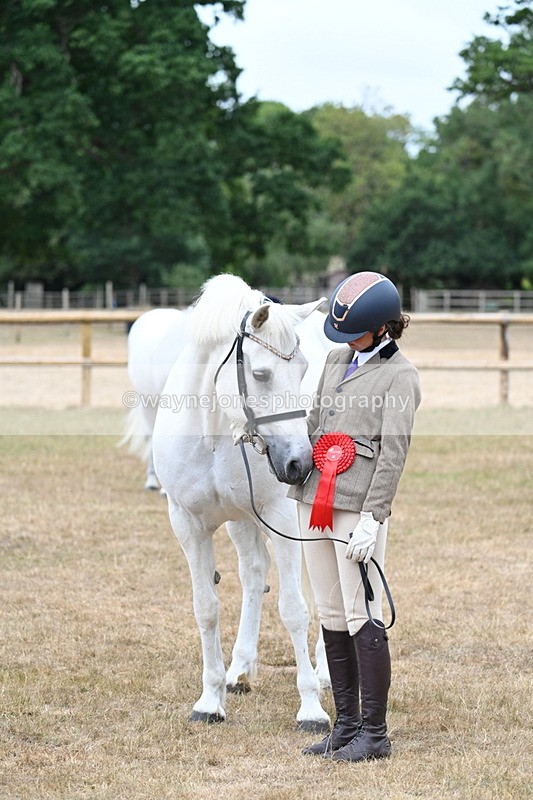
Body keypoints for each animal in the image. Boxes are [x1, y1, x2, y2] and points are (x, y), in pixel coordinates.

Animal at [152, 274, 331, 730]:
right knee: (254, 574)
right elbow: (207, 608)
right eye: (260, 373)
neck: (213, 432)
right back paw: (240, 670)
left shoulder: (282, 516)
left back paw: (323, 673)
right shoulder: (189, 524)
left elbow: (293, 609)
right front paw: (209, 700)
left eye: (303, 370)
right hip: (241, 519)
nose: (300, 464)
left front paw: (311, 710)